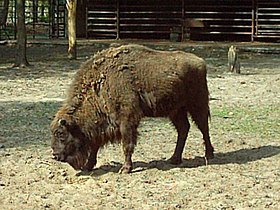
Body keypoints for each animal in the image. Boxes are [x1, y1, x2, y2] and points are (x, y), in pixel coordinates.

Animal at [50, 43, 213, 173]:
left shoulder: (127, 120)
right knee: (183, 129)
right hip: (176, 111)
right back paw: (174, 159)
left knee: (203, 127)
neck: (100, 85)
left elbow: (127, 144)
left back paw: (209, 155)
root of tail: (200, 62)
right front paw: (88, 166)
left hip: (197, 105)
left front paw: (125, 169)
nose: (55, 156)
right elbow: (95, 146)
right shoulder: (102, 126)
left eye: (61, 134)